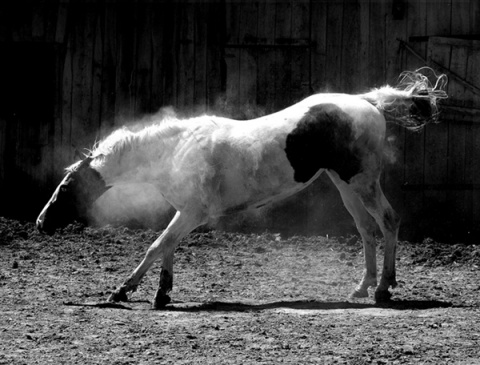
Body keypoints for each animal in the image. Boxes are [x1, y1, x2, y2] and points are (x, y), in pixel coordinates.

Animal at [36, 69, 446, 308]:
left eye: (65, 188)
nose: (41, 223)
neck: (174, 150)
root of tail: (367, 102)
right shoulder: (184, 212)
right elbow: (167, 246)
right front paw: (162, 293)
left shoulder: (193, 213)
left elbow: (157, 246)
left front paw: (123, 290)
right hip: (345, 185)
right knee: (366, 230)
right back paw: (362, 287)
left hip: (361, 183)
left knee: (389, 222)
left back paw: (383, 288)